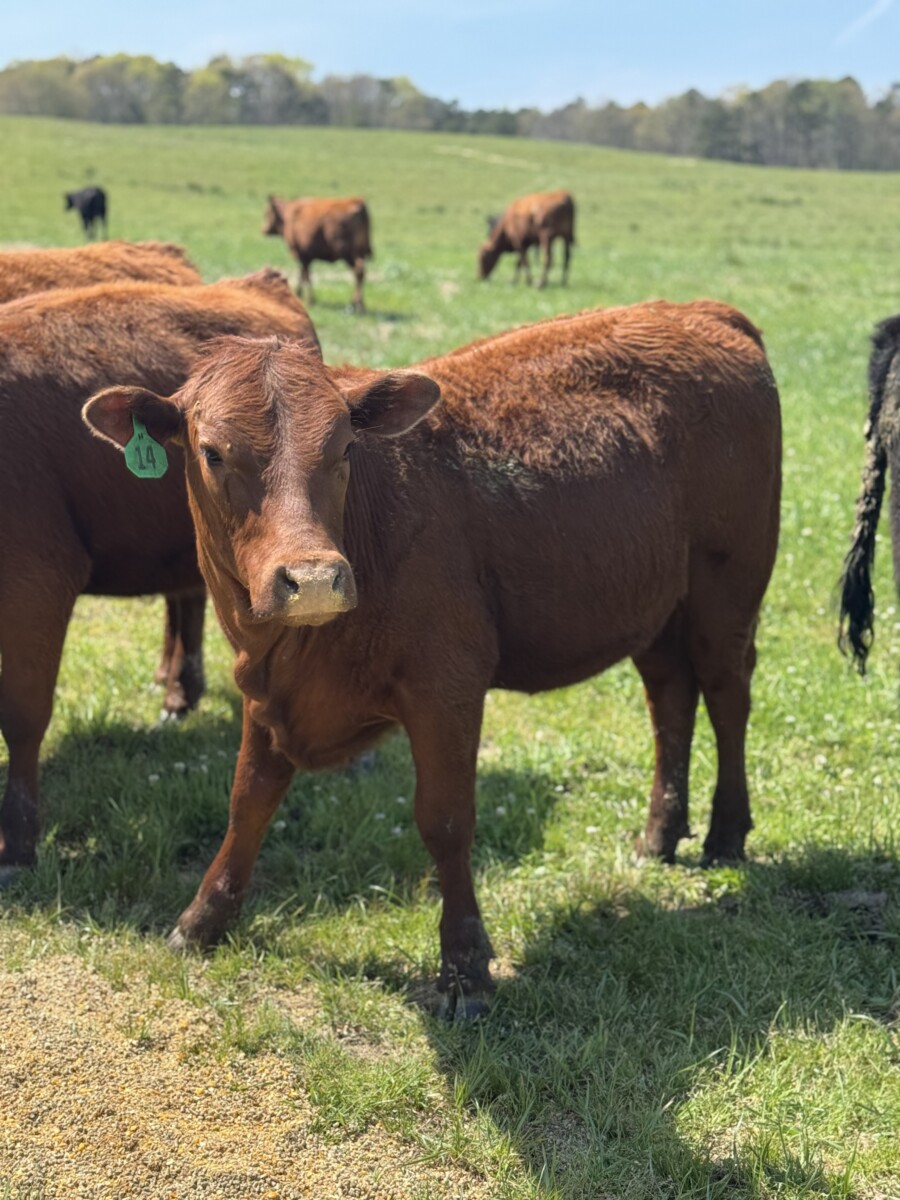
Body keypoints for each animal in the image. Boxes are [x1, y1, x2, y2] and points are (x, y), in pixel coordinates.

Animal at [84, 299, 781, 1015]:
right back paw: (660, 833)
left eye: (345, 447)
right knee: (670, 700)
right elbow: (247, 799)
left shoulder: (447, 686)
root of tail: (696, 309)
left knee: (727, 695)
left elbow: (445, 820)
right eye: (212, 452)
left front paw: (464, 968)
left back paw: (726, 834)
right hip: (657, 609)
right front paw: (201, 921)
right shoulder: (265, 690)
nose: (313, 579)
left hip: (728, 586)